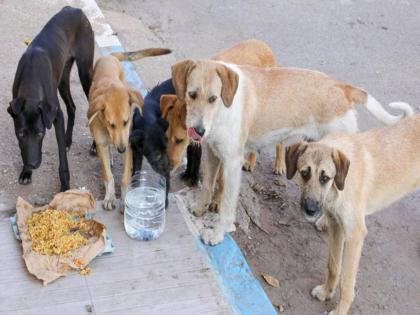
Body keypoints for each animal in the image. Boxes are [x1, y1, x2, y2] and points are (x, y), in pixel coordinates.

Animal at [7, 6, 93, 191]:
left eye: (40, 133)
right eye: (21, 134)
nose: (32, 164)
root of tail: (76, 9)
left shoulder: (56, 115)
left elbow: (62, 161)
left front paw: (65, 186)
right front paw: (26, 172)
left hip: (85, 73)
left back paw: (95, 147)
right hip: (62, 79)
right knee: (72, 107)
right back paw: (68, 140)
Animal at [88, 47, 171, 210]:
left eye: (126, 122)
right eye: (111, 124)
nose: (121, 149)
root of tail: (110, 56)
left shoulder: (130, 144)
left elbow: (127, 177)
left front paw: (126, 197)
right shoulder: (102, 144)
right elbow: (108, 175)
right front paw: (110, 197)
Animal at [171, 59, 414, 247]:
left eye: (213, 98)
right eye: (191, 95)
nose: (198, 131)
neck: (223, 109)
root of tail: (342, 87)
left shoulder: (231, 163)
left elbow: (226, 206)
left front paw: (218, 234)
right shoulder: (213, 153)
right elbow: (207, 186)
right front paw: (199, 210)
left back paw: (325, 222)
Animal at [284, 113, 418, 315]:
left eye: (325, 178)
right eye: (304, 173)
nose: (310, 210)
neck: (340, 184)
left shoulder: (355, 236)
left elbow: (347, 283)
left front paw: (340, 310)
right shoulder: (336, 226)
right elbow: (333, 266)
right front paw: (326, 292)